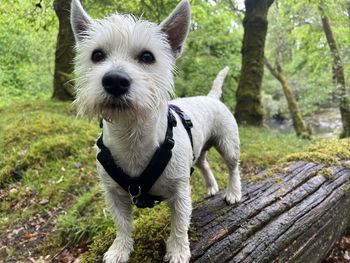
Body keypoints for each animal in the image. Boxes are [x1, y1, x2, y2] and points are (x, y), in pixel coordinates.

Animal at [71, 1, 241, 262]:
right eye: (97, 55)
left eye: (147, 57)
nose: (115, 80)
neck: (132, 134)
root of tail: (211, 96)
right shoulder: (114, 195)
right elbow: (122, 224)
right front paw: (120, 249)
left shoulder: (180, 192)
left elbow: (179, 224)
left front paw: (178, 251)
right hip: (199, 149)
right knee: (203, 162)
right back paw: (212, 186)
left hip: (228, 143)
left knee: (233, 167)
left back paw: (233, 192)